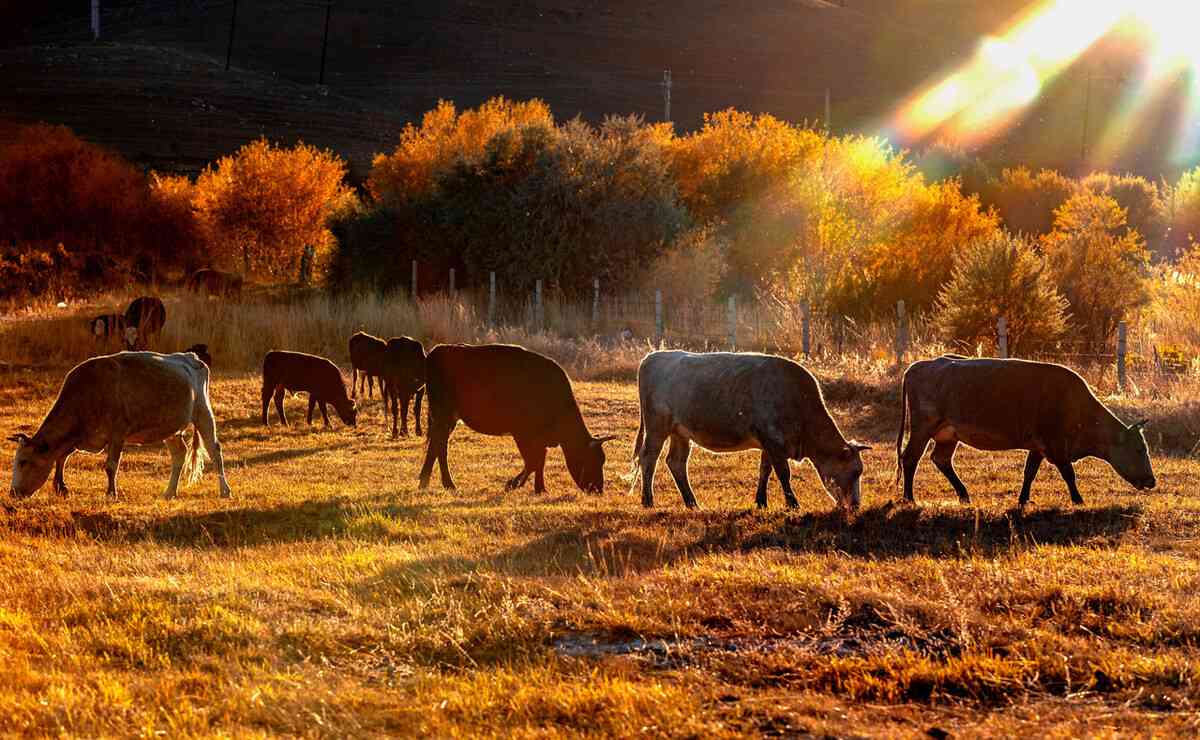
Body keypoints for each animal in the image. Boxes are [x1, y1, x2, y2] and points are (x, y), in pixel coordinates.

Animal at [7, 350, 231, 498]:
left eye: (24, 461)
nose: (13, 492)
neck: (88, 393)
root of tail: (190, 357)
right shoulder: (79, 437)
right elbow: (62, 457)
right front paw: (60, 486)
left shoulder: (117, 433)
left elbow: (110, 465)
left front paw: (110, 493)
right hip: (170, 427)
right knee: (179, 454)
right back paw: (169, 492)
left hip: (203, 413)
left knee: (214, 450)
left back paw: (224, 490)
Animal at [417, 343, 614, 494]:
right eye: (591, 460)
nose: (598, 489)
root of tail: (437, 350)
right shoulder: (522, 433)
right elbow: (533, 461)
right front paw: (513, 483)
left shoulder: (538, 438)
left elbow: (539, 460)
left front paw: (539, 488)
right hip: (443, 414)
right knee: (440, 446)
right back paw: (447, 484)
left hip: (448, 419)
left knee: (436, 445)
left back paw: (426, 482)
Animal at [628, 350, 873, 510]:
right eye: (855, 472)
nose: (856, 505)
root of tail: (654, 356)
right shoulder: (773, 441)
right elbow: (783, 473)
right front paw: (792, 503)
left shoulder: (768, 444)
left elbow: (765, 470)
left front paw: (761, 501)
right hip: (657, 426)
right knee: (649, 458)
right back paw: (648, 500)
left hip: (680, 432)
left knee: (676, 462)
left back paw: (691, 503)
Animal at [897, 355, 1156, 506]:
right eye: (1139, 450)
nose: (1152, 481)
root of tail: (918, 366)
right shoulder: (1055, 445)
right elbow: (1069, 474)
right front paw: (1078, 500)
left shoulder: (1038, 447)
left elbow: (1029, 473)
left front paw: (1023, 500)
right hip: (922, 428)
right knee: (910, 458)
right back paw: (909, 498)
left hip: (948, 435)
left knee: (941, 459)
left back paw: (964, 495)